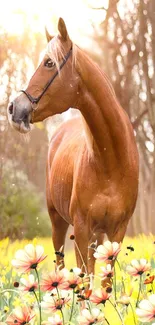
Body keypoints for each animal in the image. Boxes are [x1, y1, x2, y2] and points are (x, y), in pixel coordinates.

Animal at [7, 17, 139, 280]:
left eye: (49, 63)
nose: (13, 108)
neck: (111, 161)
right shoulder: (81, 228)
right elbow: (85, 279)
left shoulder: (117, 231)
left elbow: (106, 281)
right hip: (58, 223)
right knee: (60, 263)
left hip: (97, 235)